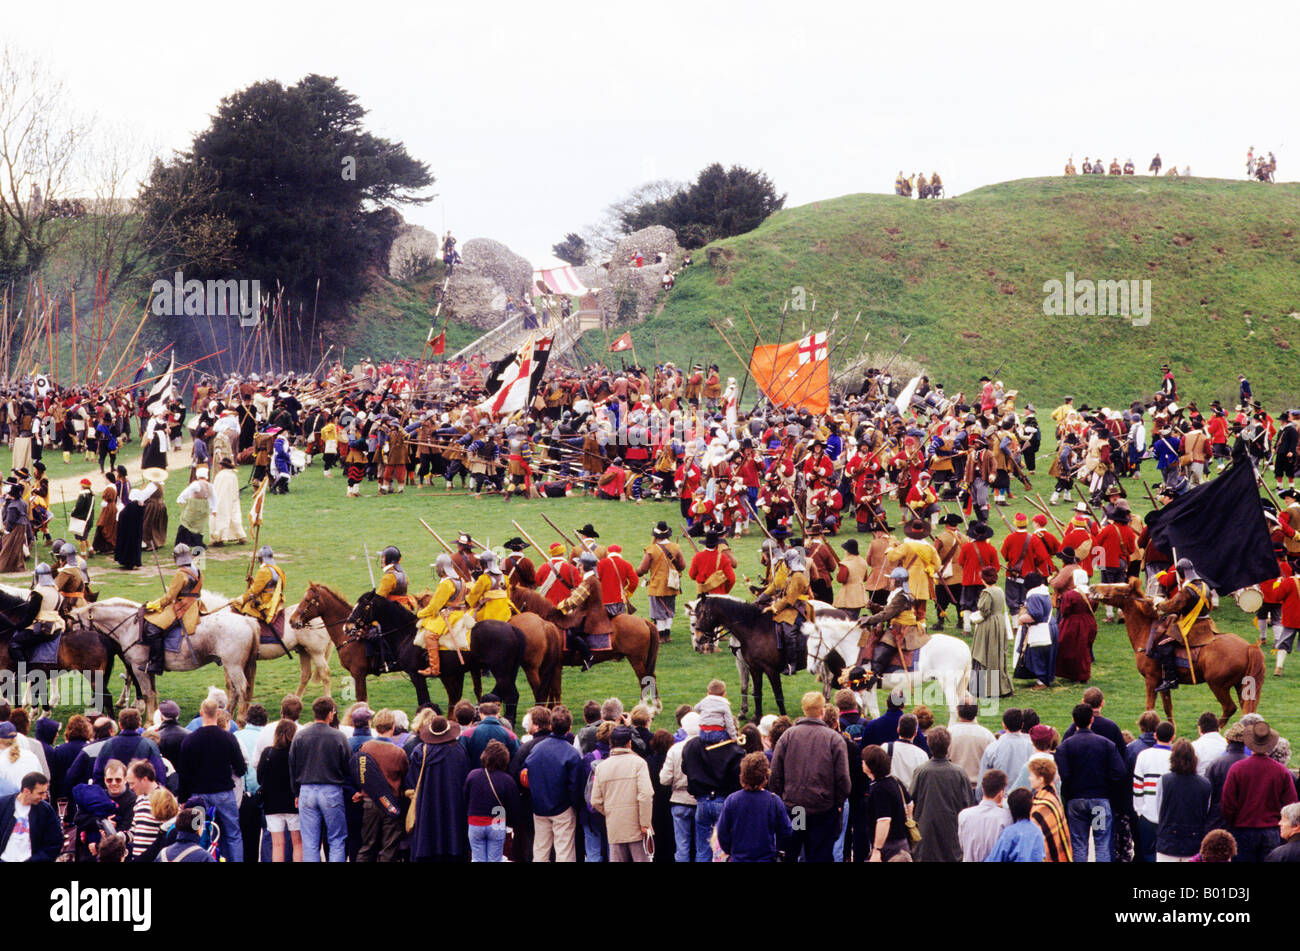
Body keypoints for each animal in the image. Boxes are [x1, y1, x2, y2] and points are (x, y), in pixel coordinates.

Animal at [506, 587, 660, 711]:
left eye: (510, 602)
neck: (548, 626)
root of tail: (643, 621)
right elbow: (553, 690)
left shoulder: (555, 667)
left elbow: (555, 690)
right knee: (650, 678)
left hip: (636, 660)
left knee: (645, 680)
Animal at [800, 615, 977, 722]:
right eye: (806, 644)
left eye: (815, 644)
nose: (811, 669)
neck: (858, 647)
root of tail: (964, 647)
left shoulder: (869, 688)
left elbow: (874, 712)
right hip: (960, 684)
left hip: (948, 684)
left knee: (955, 709)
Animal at [1092, 579, 1263, 727]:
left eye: (1118, 589)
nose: (1093, 588)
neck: (1146, 633)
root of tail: (1249, 647)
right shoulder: (1162, 683)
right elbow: (1168, 708)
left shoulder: (1151, 679)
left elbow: (1149, 707)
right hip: (1241, 685)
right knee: (1246, 709)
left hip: (1218, 685)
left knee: (1229, 708)